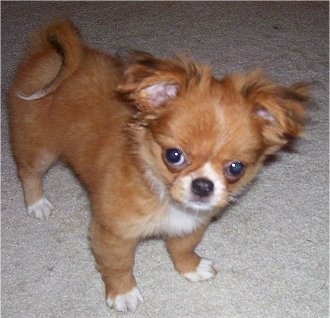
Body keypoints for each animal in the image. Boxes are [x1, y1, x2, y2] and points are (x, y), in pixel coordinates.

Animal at [7, 20, 308, 314]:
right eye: (173, 155)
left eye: (235, 168)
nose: (202, 186)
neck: (160, 192)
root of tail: (59, 55)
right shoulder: (114, 234)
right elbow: (119, 265)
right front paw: (123, 293)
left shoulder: (191, 225)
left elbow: (183, 249)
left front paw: (191, 268)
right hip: (39, 147)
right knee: (29, 173)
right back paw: (37, 204)